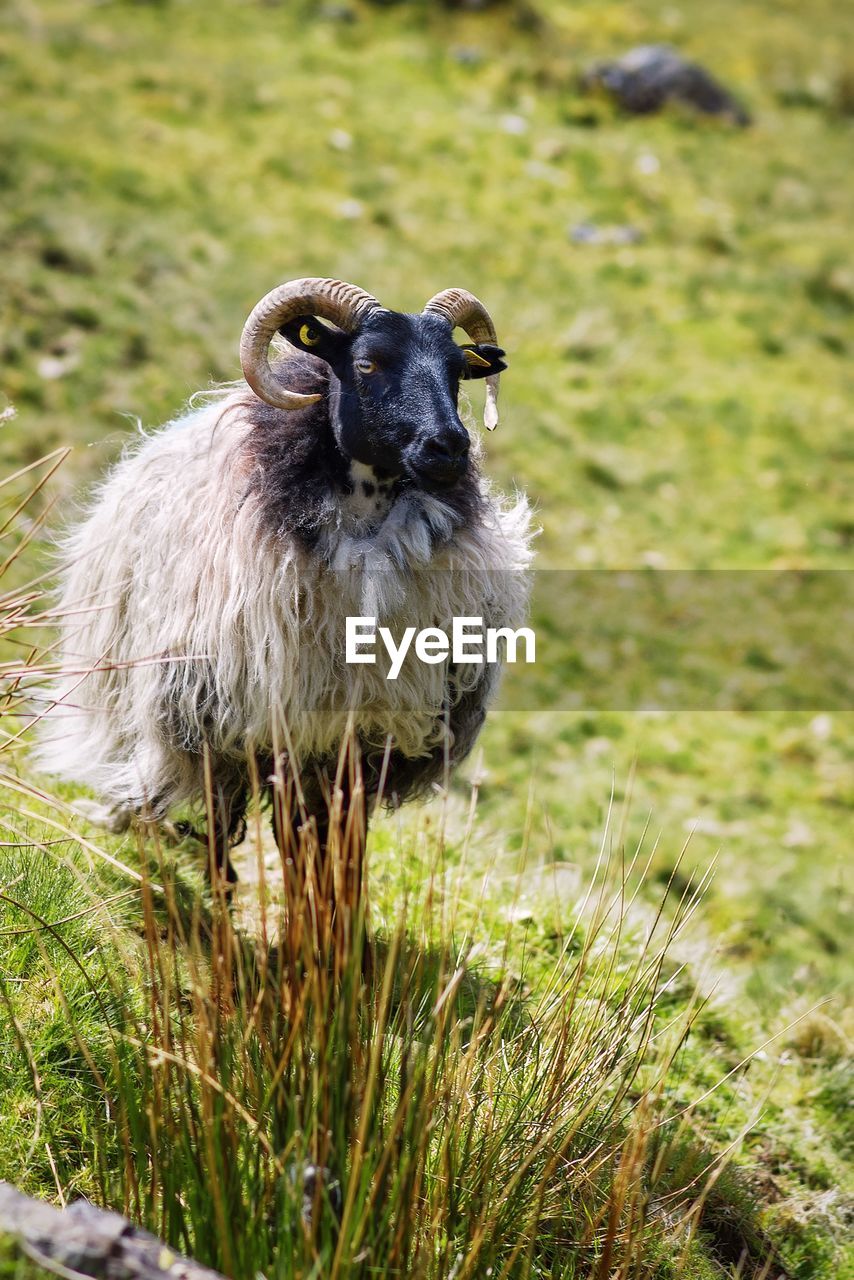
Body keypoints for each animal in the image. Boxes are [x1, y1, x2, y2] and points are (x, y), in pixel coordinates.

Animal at [41, 275, 535, 885]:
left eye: (458, 369)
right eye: (367, 362)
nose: (450, 447)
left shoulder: (362, 733)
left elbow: (341, 842)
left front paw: (338, 909)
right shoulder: (254, 721)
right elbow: (276, 833)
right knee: (219, 819)